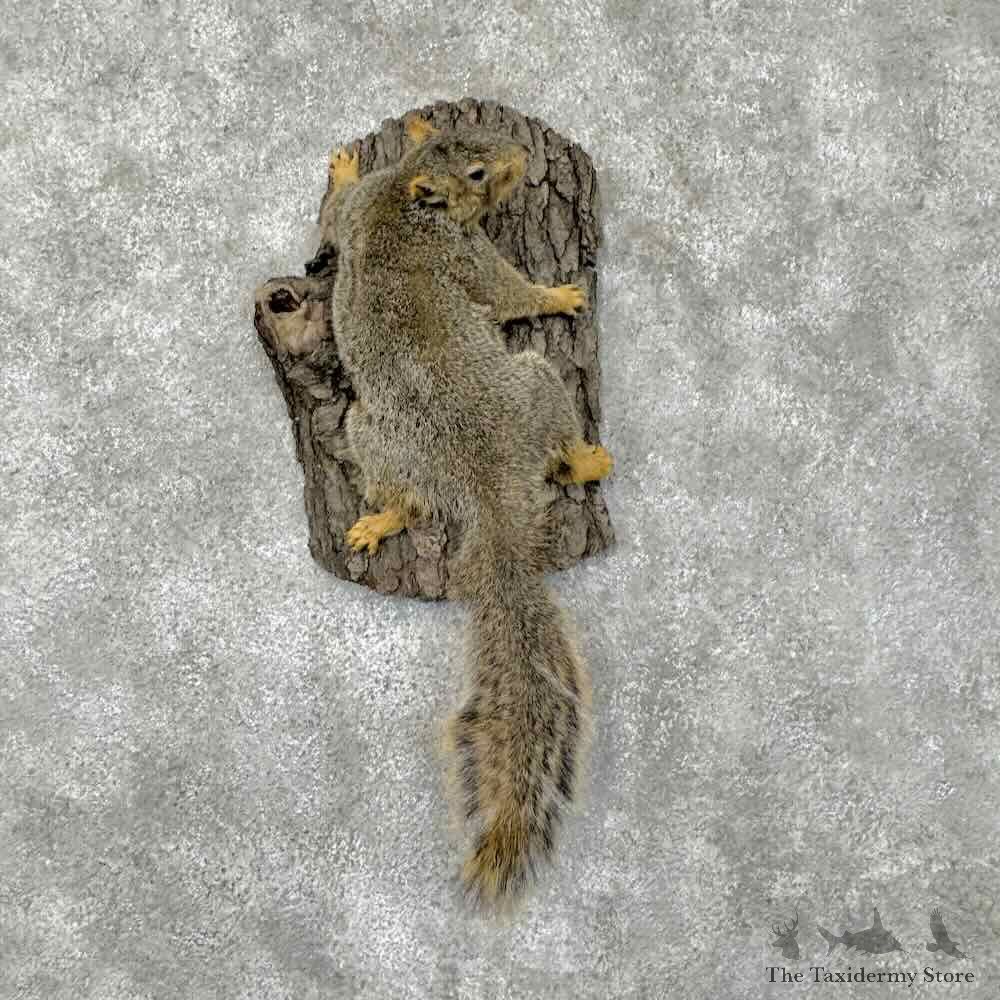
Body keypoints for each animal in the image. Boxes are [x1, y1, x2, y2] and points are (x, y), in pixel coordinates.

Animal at [324, 113, 613, 907]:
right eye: (480, 175)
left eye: (479, 133)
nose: (520, 160)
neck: (405, 195)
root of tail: (484, 483)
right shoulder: (463, 253)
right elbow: (508, 293)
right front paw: (557, 297)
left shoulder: (365, 208)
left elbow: (335, 213)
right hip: (531, 384)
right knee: (521, 464)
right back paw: (581, 460)